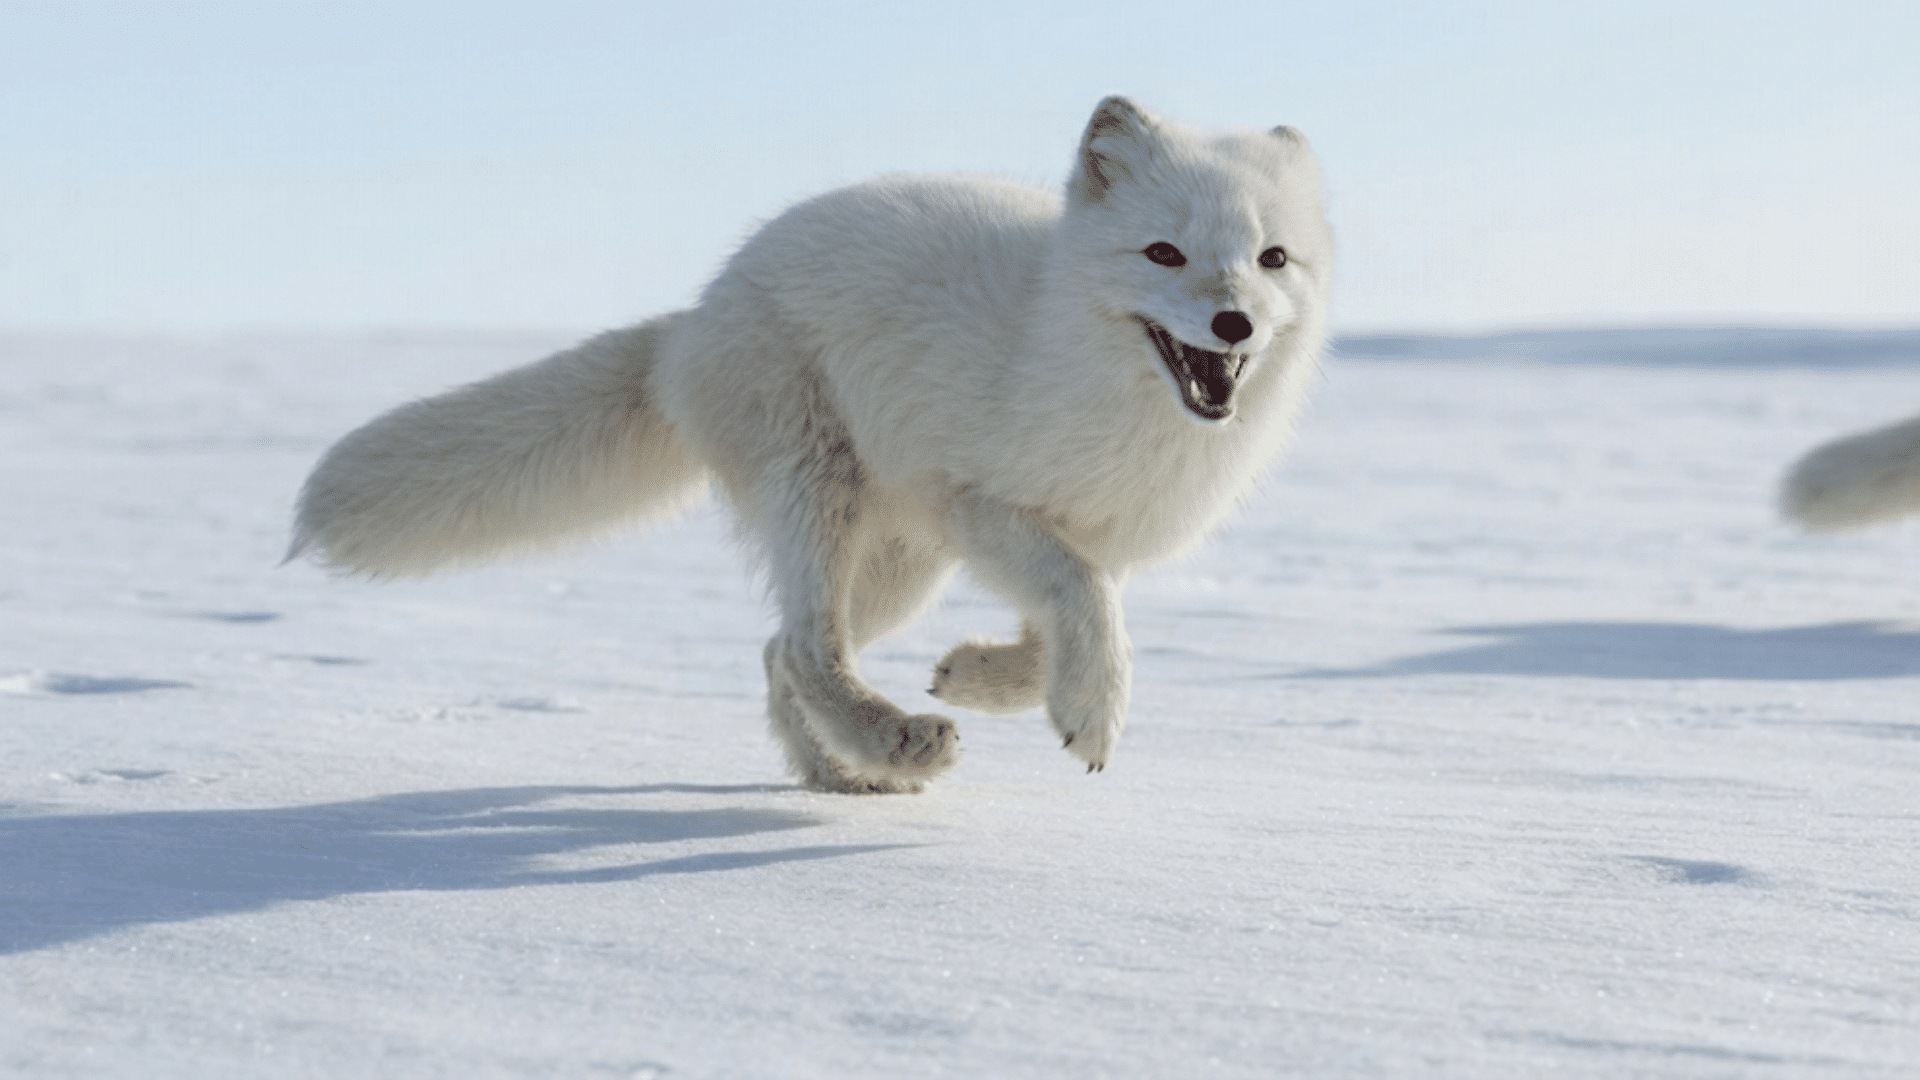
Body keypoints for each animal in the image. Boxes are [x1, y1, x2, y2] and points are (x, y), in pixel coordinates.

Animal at [290, 96, 1333, 794]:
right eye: (1164, 253)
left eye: (1272, 258)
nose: (1233, 323)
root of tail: (691, 323)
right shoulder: (979, 501)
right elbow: (1085, 601)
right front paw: (1091, 712)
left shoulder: (1082, 537)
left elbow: (1071, 619)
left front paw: (987, 676)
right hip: (818, 485)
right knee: (801, 645)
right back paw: (891, 741)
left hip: (902, 563)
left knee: (773, 649)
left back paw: (837, 773)